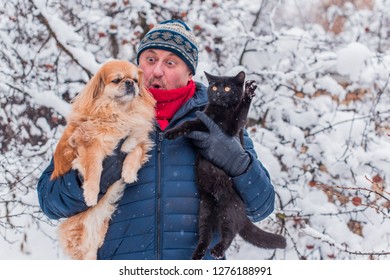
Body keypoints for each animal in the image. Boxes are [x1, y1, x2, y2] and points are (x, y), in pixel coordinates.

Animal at [50, 60, 155, 260]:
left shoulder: (139, 138)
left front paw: (129, 172)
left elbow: (135, 150)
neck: (120, 112)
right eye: (117, 80)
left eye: (135, 80)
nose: (130, 83)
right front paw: (91, 194)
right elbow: (95, 170)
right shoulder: (90, 146)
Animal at [165, 71, 286, 260]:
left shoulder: (233, 128)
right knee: (205, 236)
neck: (220, 111)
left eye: (228, 88)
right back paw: (198, 254)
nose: (219, 94)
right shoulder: (202, 121)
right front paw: (171, 133)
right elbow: (187, 124)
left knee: (228, 235)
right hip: (205, 211)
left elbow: (240, 113)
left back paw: (217, 250)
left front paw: (249, 92)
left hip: (230, 210)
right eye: (214, 87)